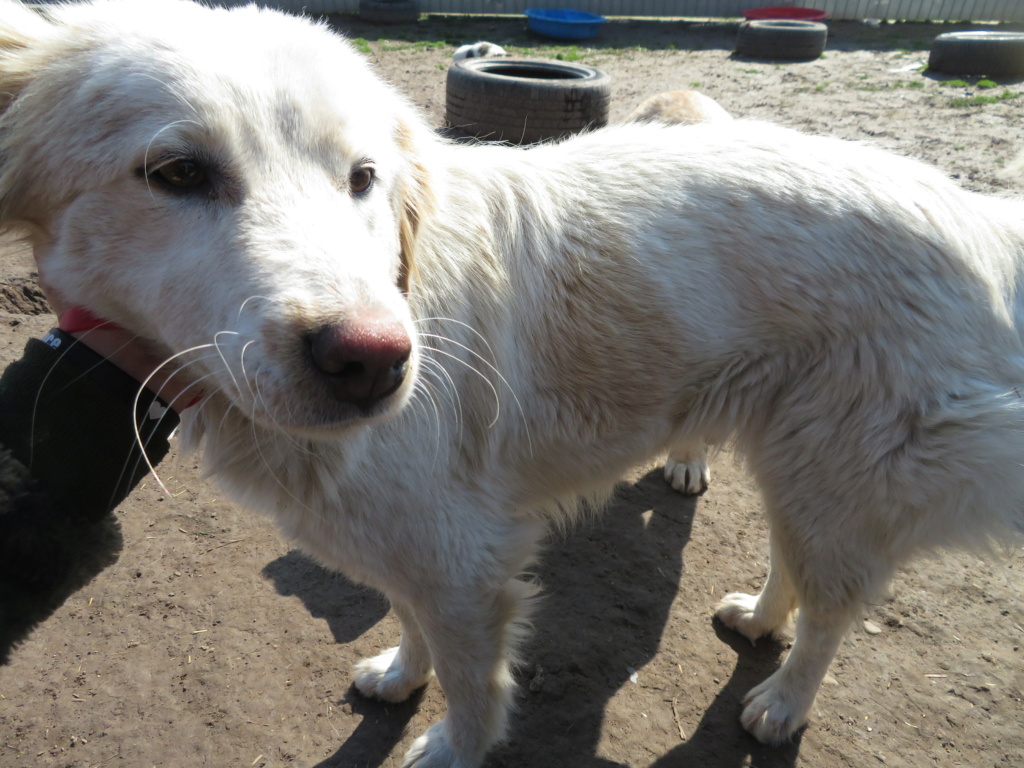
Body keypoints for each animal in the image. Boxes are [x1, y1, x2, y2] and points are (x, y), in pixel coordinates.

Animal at [2, 1, 1024, 768]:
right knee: (798, 568)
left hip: (840, 469)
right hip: (802, 463)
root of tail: (975, 210)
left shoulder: (468, 560)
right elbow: (412, 621)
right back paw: (760, 620)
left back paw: (781, 702)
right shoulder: (414, 542)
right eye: (175, 173)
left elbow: (471, 679)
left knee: (834, 610)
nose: (379, 361)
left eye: (362, 178)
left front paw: (452, 746)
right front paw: (398, 676)